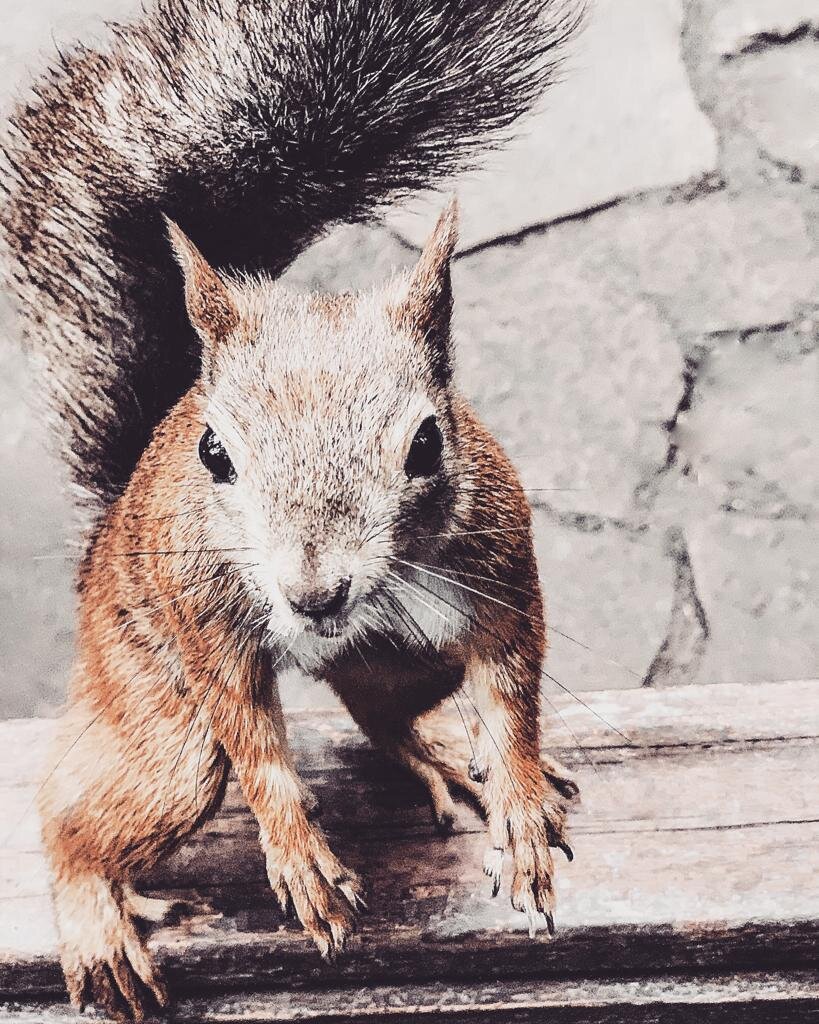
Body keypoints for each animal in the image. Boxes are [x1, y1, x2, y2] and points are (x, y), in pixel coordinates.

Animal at [3, 0, 585, 1015]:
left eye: (426, 444)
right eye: (213, 453)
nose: (314, 595)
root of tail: (108, 526)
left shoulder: (498, 568)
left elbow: (513, 693)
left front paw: (517, 803)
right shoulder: (202, 614)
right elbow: (247, 728)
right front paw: (298, 854)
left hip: (404, 659)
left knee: (380, 712)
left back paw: (444, 750)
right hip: (156, 716)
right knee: (79, 811)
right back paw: (92, 914)